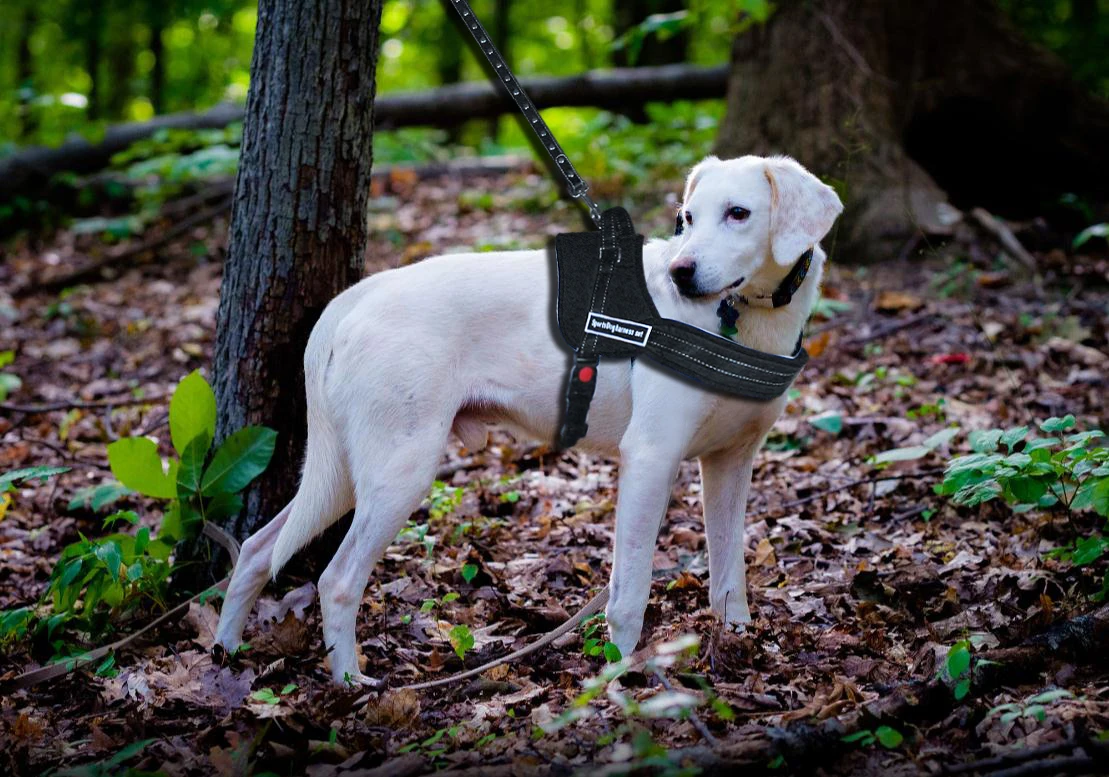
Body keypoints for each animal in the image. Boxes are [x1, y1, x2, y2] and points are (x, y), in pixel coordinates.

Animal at [214, 152, 838, 682]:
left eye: (738, 214)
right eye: (688, 218)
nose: (681, 273)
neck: (744, 321)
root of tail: (358, 296)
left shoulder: (730, 464)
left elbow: (729, 576)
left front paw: (739, 646)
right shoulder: (650, 458)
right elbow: (629, 591)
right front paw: (617, 680)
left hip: (347, 471)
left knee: (256, 551)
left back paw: (224, 656)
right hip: (399, 471)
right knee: (337, 581)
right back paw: (350, 684)